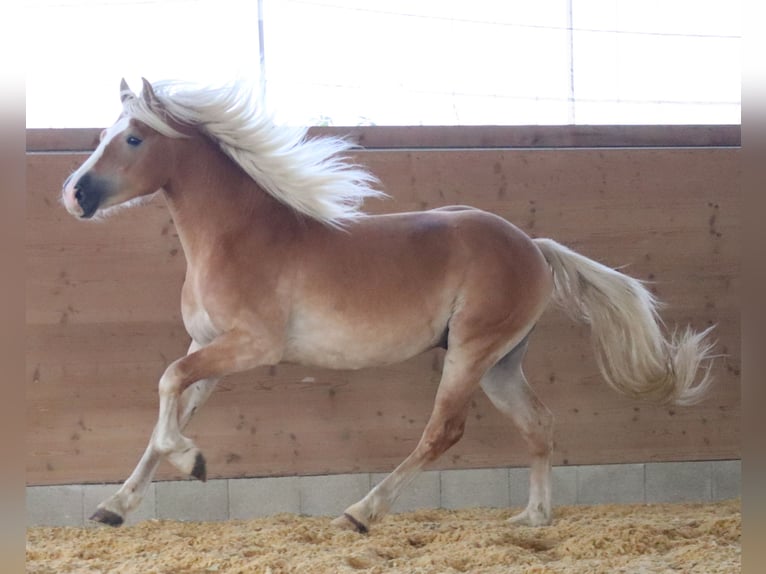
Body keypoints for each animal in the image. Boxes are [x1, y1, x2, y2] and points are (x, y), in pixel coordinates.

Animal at [61, 78, 715, 532]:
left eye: (133, 138)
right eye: (102, 135)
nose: (75, 194)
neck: (239, 235)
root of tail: (534, 246)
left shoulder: (249, 347)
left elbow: (168, 386)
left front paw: (191, 461)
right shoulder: (209, 347)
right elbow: (165, 414)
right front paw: (114, 506)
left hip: (471, 352)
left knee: (443, 431)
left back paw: (361, 512)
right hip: (501, 363)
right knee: (539, 425)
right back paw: (533, 518)